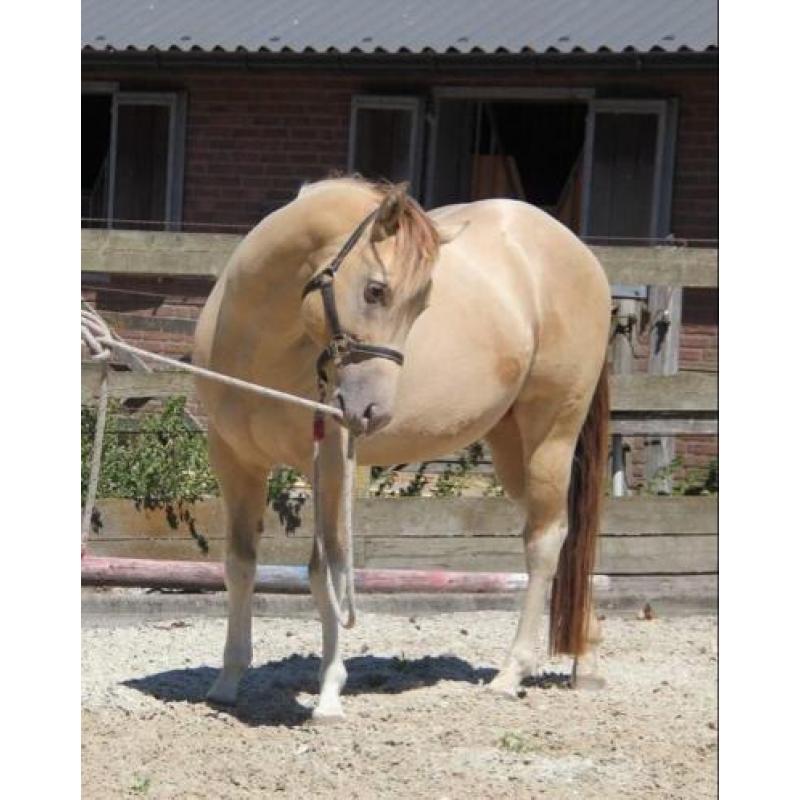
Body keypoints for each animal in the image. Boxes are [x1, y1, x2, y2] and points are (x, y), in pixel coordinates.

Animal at [193, 175, 611, 722]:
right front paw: (227, 680)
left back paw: (510, 674)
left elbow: (329, 572)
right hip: (511, 447)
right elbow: (240, 565)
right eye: (376, 290)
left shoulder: (331, 463)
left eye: (421, 307)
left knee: (545, 544)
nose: (373, 412)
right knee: (563, 534)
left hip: (551, 434)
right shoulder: (234, 460)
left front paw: (329, 693)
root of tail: (580, 254)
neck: (258, 342)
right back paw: (586, 662)